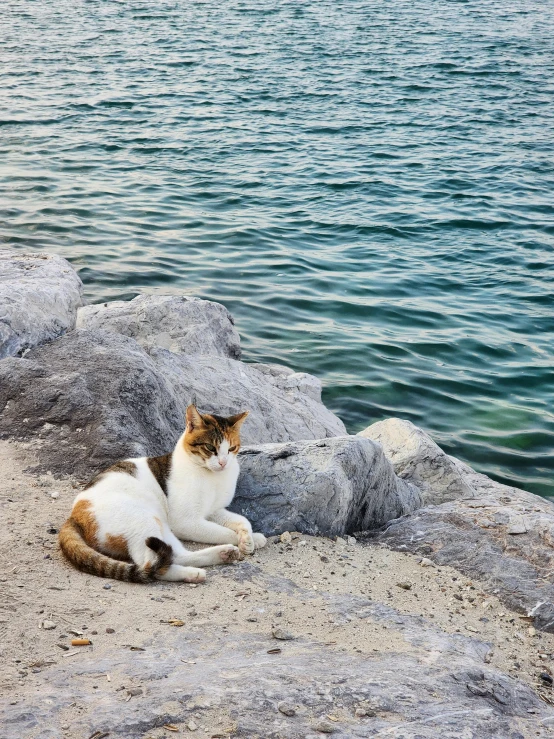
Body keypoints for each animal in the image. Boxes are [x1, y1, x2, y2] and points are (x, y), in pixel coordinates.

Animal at [59, 404, 266, 584]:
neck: (213, 477)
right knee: (152, 565)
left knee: (176, 555)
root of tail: (74, 515)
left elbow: (242, 521)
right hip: (145, 522)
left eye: (231, 449)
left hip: (161, 528)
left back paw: (223, 554)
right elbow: (224, 531)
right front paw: (243, 540)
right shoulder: (185, 522)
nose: (223, 463)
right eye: (210, 448)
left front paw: (251, 538)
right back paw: (193, 573)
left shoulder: (214, 511)